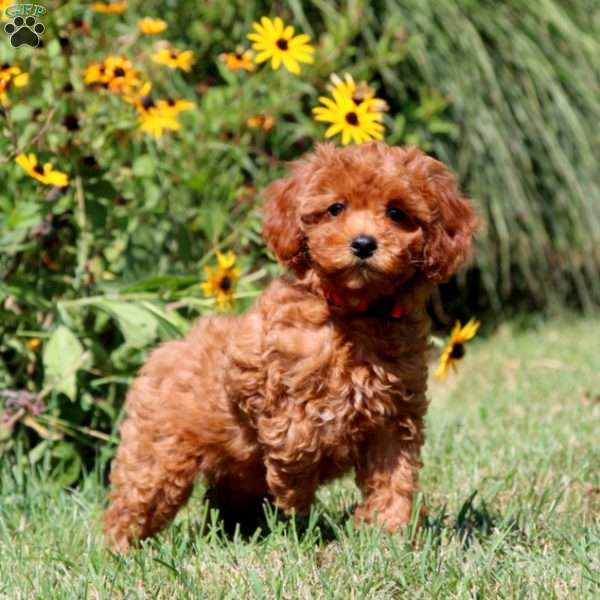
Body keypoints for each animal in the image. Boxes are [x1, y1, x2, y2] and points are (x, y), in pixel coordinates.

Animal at [104, 139, 478, 548]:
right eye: (336, 208)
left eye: (396, 212)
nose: (364, 244)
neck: (355, 313)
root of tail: (166, 350)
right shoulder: (256, 377)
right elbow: (297, 438)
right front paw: (296, 498)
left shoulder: (395, 417)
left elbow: (394, 478)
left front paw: (388, 530)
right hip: (158, 456)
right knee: (135, 502)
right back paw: (118, 549)